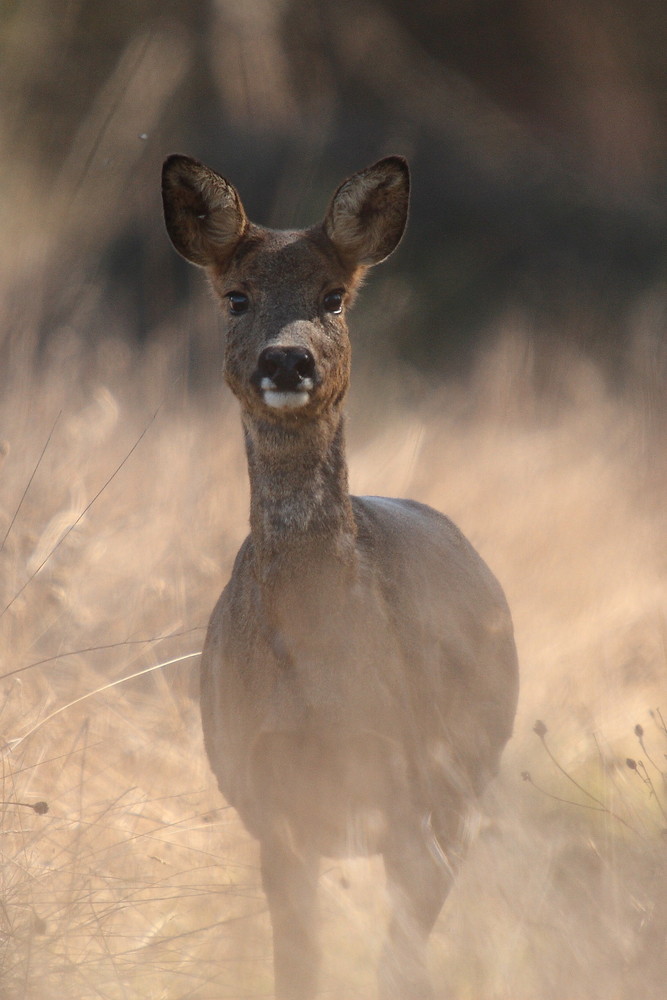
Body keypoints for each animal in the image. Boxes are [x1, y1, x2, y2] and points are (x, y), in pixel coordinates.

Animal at [163, 156, 520, 1000]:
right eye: (236, 296)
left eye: (333, 296)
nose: (287, 359)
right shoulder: (270, 803)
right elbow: (296, 964)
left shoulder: (415, 790)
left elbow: (400, 965)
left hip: (464, 784)